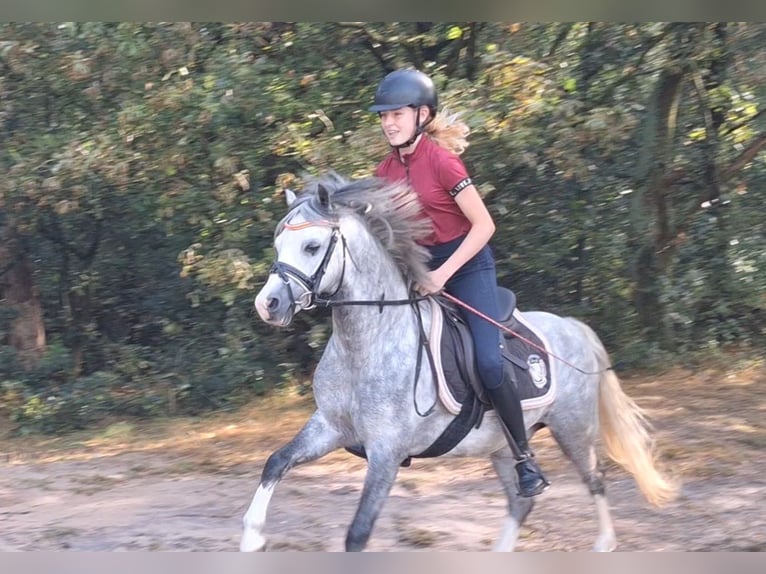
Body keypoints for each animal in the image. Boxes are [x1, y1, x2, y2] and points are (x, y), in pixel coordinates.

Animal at [243, 172, 680, 552]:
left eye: (312, 247)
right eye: (278, 246)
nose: (268, 305)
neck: (365, 344)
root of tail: (572, 327)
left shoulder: (386, 452)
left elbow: (358, 533)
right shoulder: (331, 427)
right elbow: (275, 462)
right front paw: (252, 537)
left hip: (572, 427)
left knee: (595, 479)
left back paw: (604, 543)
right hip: (504, 443)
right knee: (522, 500)